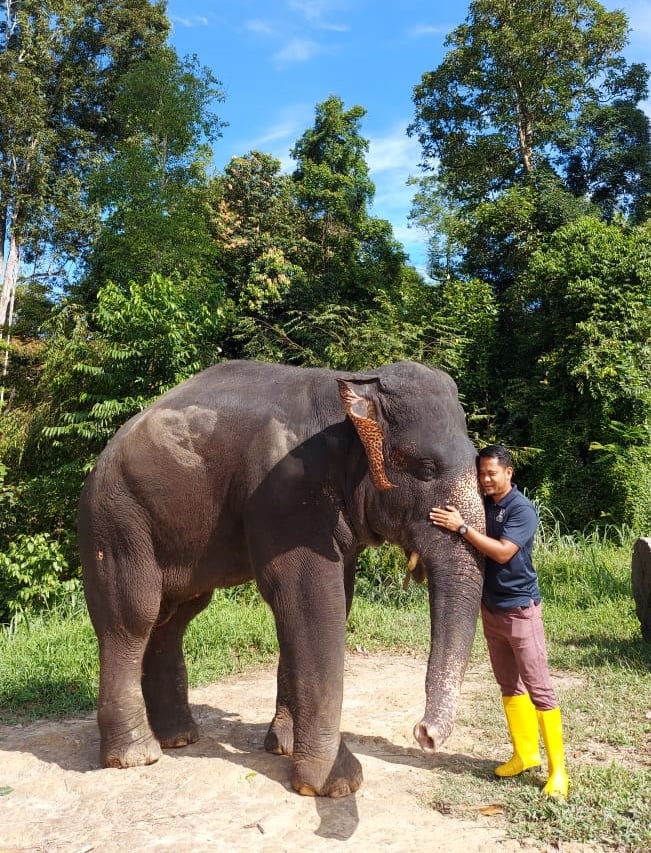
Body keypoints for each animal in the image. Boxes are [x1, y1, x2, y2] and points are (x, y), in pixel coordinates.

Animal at [77, 356, 484, 796]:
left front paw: (284, 747)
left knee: (175, 616)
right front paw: (335, 785)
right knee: (133, 617)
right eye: (426, 469)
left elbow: (323, 602)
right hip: (115, 521)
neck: (353, 385)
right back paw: (137, 756)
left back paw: (179, 739)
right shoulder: (287, 493)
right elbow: (310, 600)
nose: (424, 734)